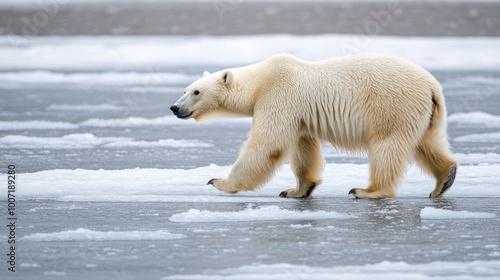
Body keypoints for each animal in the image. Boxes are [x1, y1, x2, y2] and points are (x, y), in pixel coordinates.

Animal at [171, 54, 458, 199]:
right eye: (185, 89)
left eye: (196, 92)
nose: (174, 108)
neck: (261, 81)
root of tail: (432, 86)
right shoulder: (299, 114)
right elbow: (303, 148)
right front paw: (297, 190)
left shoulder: (280, 95)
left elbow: (268, 144)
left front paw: (219, 182)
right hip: (424, 113)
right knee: (427, 143)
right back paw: (444, 179)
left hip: (392, 105)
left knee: (387, 147)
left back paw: (368, 191)